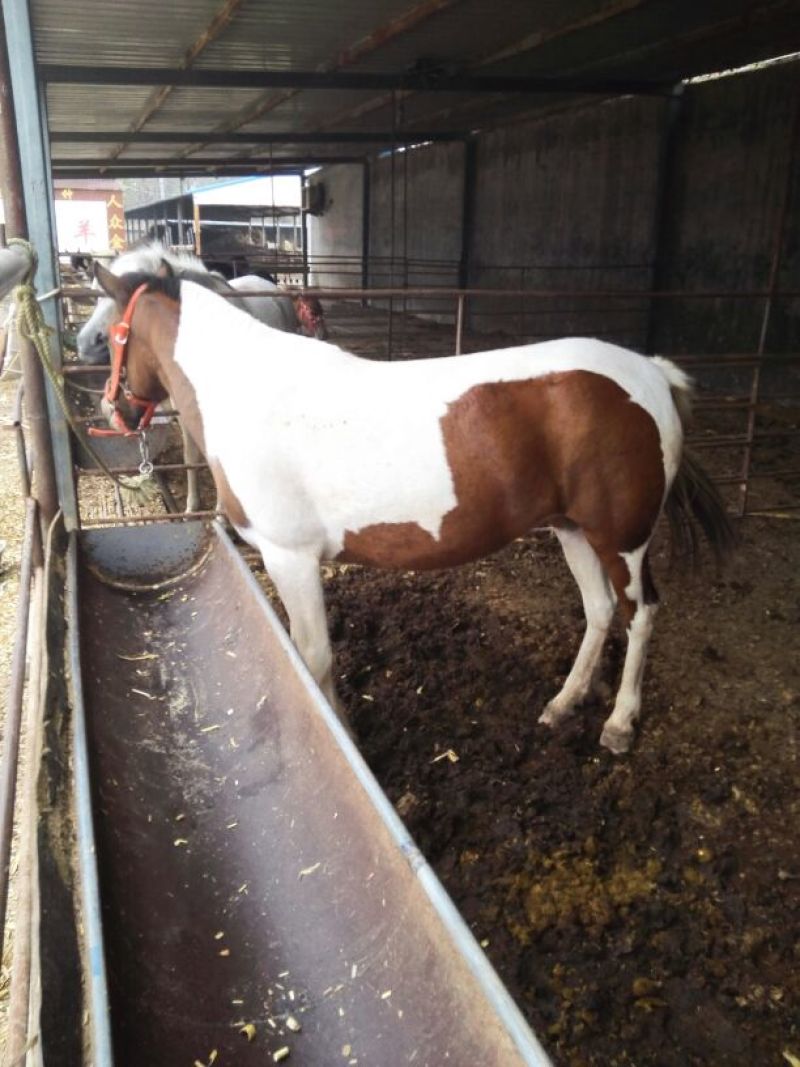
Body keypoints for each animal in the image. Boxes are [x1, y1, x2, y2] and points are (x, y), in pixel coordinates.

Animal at [93, 264, 736, 755]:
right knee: (600, 612)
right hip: (572, 529)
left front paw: (344, 735)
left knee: (640, 615)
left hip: (621, 538)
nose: (114, 411)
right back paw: (563, 703)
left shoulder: (289, 558)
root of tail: (651, 373)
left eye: (110, 337)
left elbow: (315, 656)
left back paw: (620, 723)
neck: (251, 390)